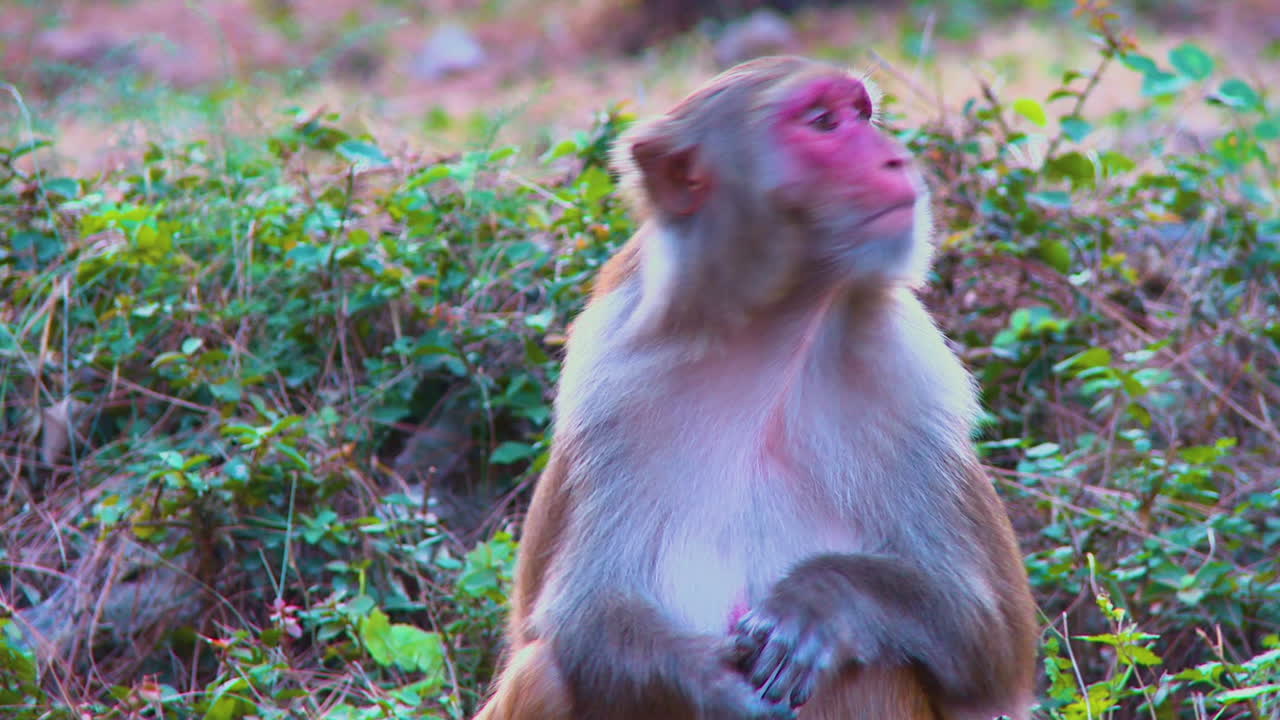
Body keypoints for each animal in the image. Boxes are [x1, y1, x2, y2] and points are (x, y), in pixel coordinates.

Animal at [475, 56, 1038, 720]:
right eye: (822, 122)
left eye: (862, 114)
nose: (896, 160)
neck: (771, 330)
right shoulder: (606, 385)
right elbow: (579, 617)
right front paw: (722, 691)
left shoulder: (913, 380)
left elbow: (990, 640)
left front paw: (822, 601)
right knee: (547, 671)